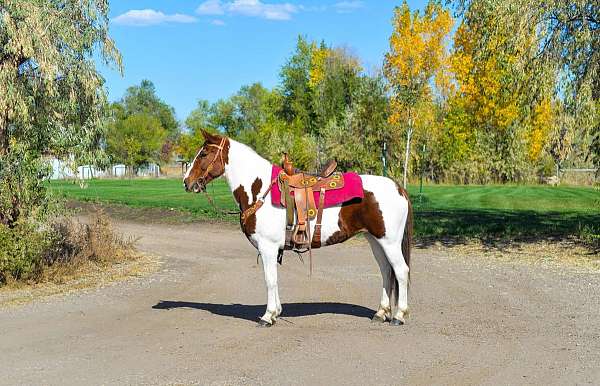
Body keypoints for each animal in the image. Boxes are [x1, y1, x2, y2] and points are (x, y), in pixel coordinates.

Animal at [183, 131, 414, 328]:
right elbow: (274, 279)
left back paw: (399, 316)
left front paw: (267, 316)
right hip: (375, 240)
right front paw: (276, 312)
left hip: (390, 242)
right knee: (386, 271)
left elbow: (269, 280)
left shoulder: (267, 248)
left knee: (401, 271)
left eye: (203, 153)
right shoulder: (271, 250)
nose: (187, 182)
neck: (260, 190)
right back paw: (381, 313)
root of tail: (398, 188)